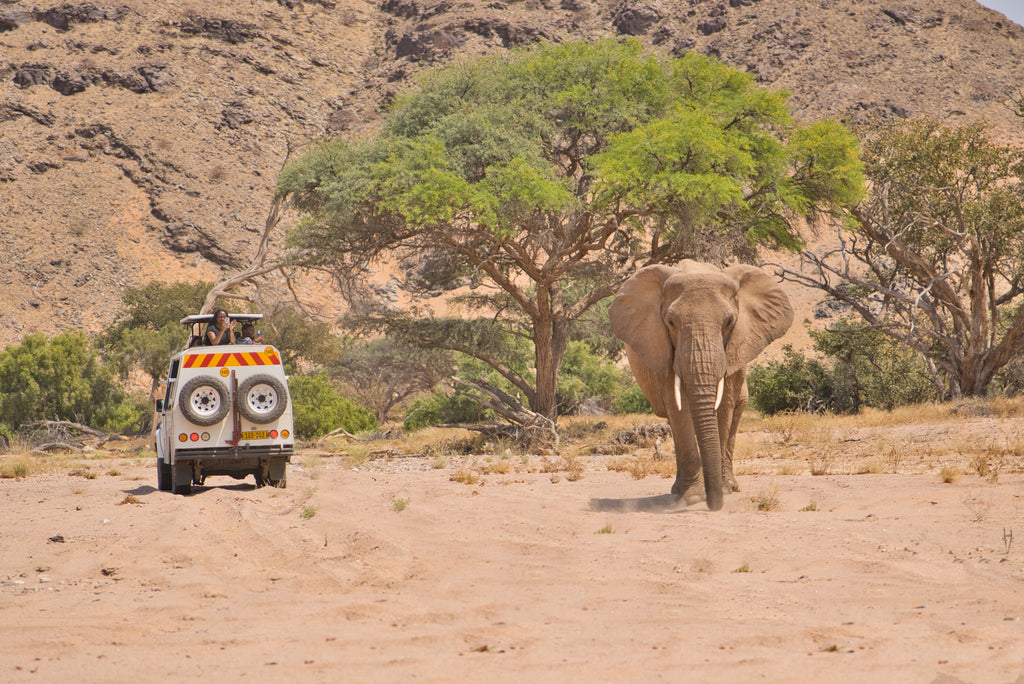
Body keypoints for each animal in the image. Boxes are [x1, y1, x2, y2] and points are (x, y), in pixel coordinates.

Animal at [609, 260, 794, 511]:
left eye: (729, 322)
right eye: (671, 322)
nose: (713, 504)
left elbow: (724, 407)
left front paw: (721, 491)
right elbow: (679, 410)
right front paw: (693, 499)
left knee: (736, 411)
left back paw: (731, 486)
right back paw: (678, 491)